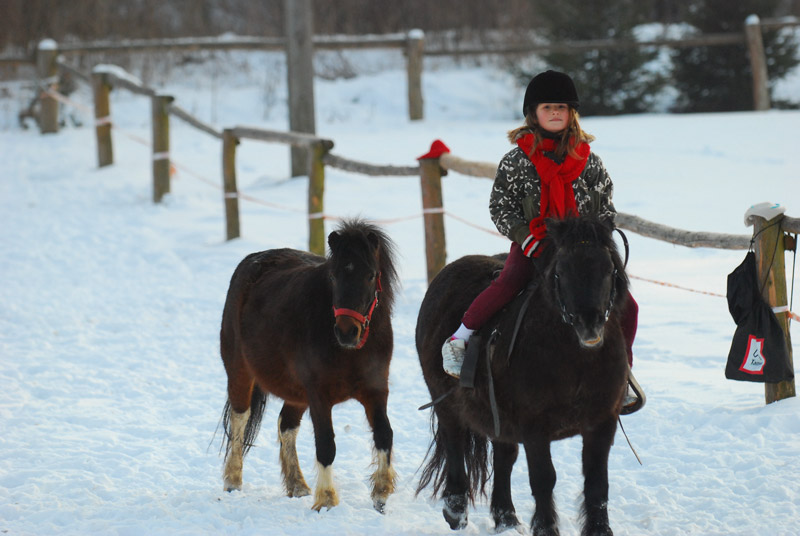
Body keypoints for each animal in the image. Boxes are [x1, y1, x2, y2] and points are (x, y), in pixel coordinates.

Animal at [217, 218, 398, 510]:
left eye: (371, 275)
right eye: (333, 276)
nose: (347, 332)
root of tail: (253, 261)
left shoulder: (376, 391)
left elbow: (384, 434)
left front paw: (381, 493)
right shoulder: (319, 395)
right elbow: (325, 444)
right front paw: (326, 499)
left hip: (296, 393)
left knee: (286, 426)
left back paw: (297, 485)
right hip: (239, 372)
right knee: (240, 418)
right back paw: (233, 480)